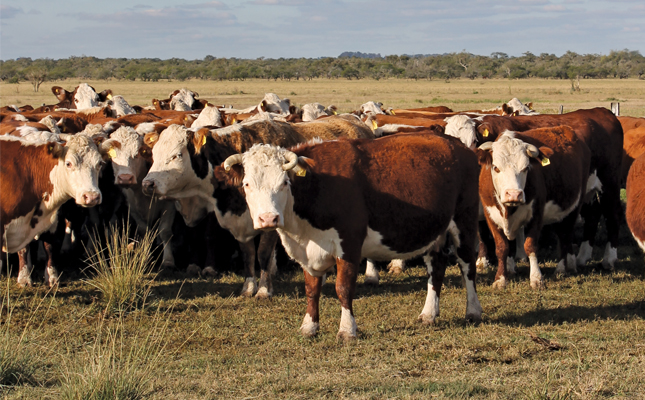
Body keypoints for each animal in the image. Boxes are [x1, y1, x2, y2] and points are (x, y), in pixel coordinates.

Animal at [0, 133, 103, 286]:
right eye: (68, 163)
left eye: (99, 163)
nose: (91, 196)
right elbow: (24, 249)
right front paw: (24, 278)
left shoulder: (54, 220)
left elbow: (50, 246)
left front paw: (52, 278)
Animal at [224, 132, 480, 340]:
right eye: (247, 184)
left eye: (284, 183)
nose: (268, 219)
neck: (318, 185)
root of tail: (458, 144)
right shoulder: (307, 251)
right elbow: (311, 290)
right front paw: (309, 326)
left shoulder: (349, 245)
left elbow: (343, 288)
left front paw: (347, 330)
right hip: (435, 231)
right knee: (436, 268)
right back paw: (429, 314)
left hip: (464, 221)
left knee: (467, 265)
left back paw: (473, 311)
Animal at [476, 127, 592, 288]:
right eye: (495, 167)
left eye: (526, 168)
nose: (514, 194)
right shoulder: (490, 215)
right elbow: (501, 247)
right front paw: (501, 279)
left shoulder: (536, 213)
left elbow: (530, 246)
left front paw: (536, 279)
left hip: (575, 207)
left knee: (565, 235)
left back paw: (562, 268)